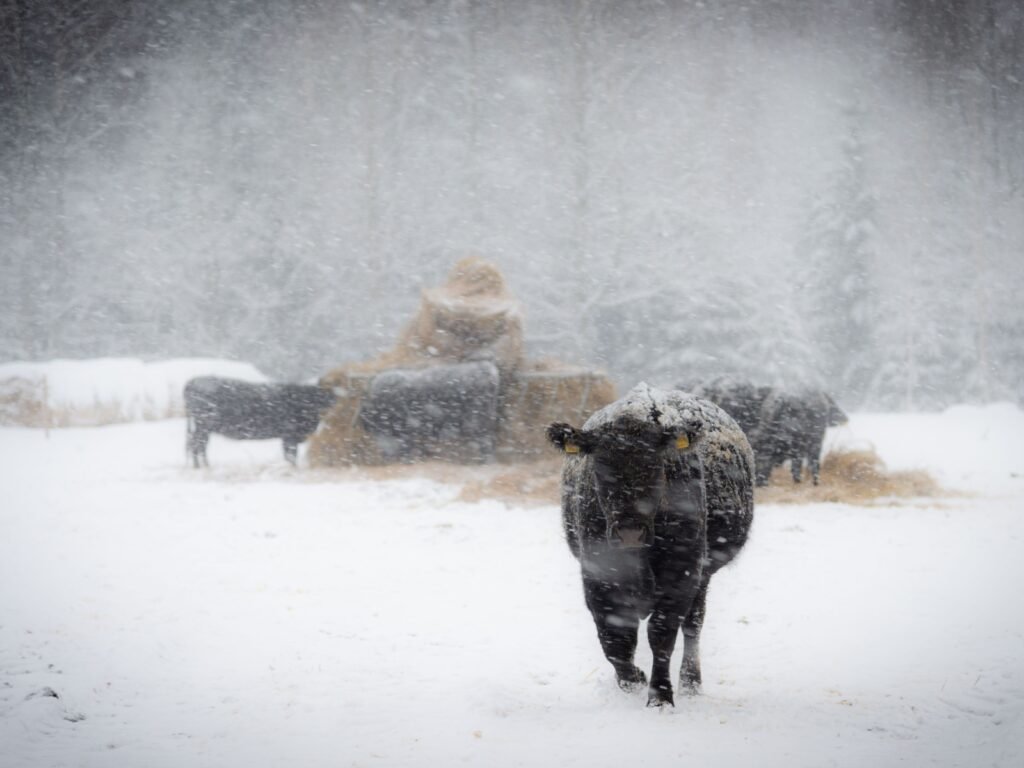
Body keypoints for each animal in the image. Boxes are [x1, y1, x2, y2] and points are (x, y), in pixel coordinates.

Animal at [184, 376, 335, 468]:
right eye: (319, 397)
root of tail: (193, 381)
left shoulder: (286, 438)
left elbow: (288, 455)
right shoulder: (289, 436)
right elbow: (291, 455)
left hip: (203, 428)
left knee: (197, 445)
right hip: (204, 426)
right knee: (197, 444)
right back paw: (201, 467)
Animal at [544, 385, 753, 708]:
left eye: (655, 465)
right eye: (600, 466)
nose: (629, 532)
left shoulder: (682, 574)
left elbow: (662, 634)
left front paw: (660, 697)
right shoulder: (597, 576)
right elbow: (615, 639)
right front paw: (632, 680)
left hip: (703, 576)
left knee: (693, 624)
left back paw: (691, 682)